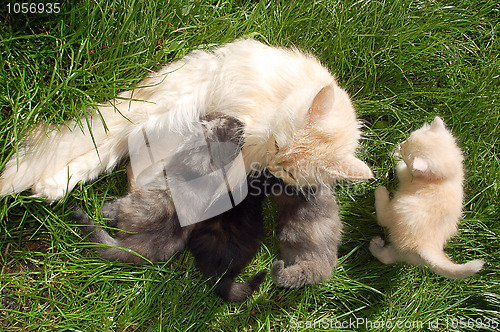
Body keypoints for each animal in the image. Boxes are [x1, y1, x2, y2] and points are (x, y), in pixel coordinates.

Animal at [0, 39, 372, 200]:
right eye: (279, 145)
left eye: (291, 173)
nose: (274, 163)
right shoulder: (248, 122)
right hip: (165, 112)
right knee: (110, 145)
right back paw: (51, 183)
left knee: (121, 160)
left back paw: (56, 185)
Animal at [72, 113, 268, 300]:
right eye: (231, 120)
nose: (240, 121)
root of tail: (136, 246)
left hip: (129, 202)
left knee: (114, 210)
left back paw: (105, 209)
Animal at [370, 116, 482, 278]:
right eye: (408, 139)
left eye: (407, 153)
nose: (402, 144)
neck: (446, 177)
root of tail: (426, 245)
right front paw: (395, 149)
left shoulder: (406, 175)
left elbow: (400, 167)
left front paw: (394, 153)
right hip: (406, 253)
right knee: (388, 257)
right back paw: (376, 245)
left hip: (399, 207)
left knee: (383, 219)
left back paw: (381, 193)